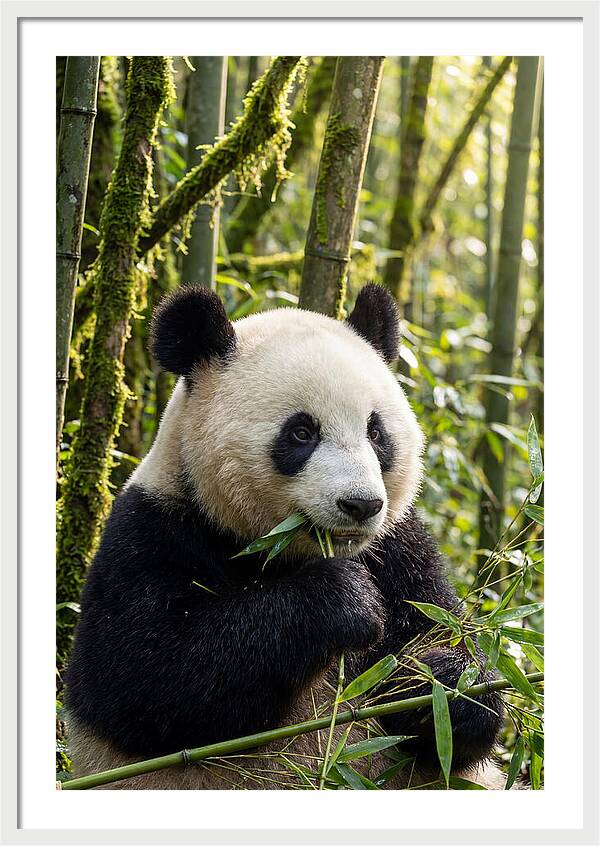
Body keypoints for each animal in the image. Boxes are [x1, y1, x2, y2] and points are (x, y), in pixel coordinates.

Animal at [65, 282, 505, 790]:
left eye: (376, 433)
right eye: (301, 432)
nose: (360, 505)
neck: (282, 549)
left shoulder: (399, 548)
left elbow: (450, 649)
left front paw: (440, 683)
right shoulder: (152, 533)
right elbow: (147, 678)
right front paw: (345, 600)